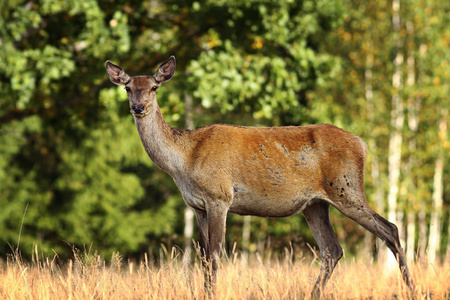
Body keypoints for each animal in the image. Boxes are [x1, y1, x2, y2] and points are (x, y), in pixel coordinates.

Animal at [105, 55, 414, 298]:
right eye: (128, 88)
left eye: (154, 87)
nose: (138, 107)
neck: (184, 162)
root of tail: (362, 144)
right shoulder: (196, 205)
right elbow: (203, 258)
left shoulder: (220, 196)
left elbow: (215, 256)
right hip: (315, 204)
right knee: (332, 250)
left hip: (346, 188)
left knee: (390, 229)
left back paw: (411, 288)